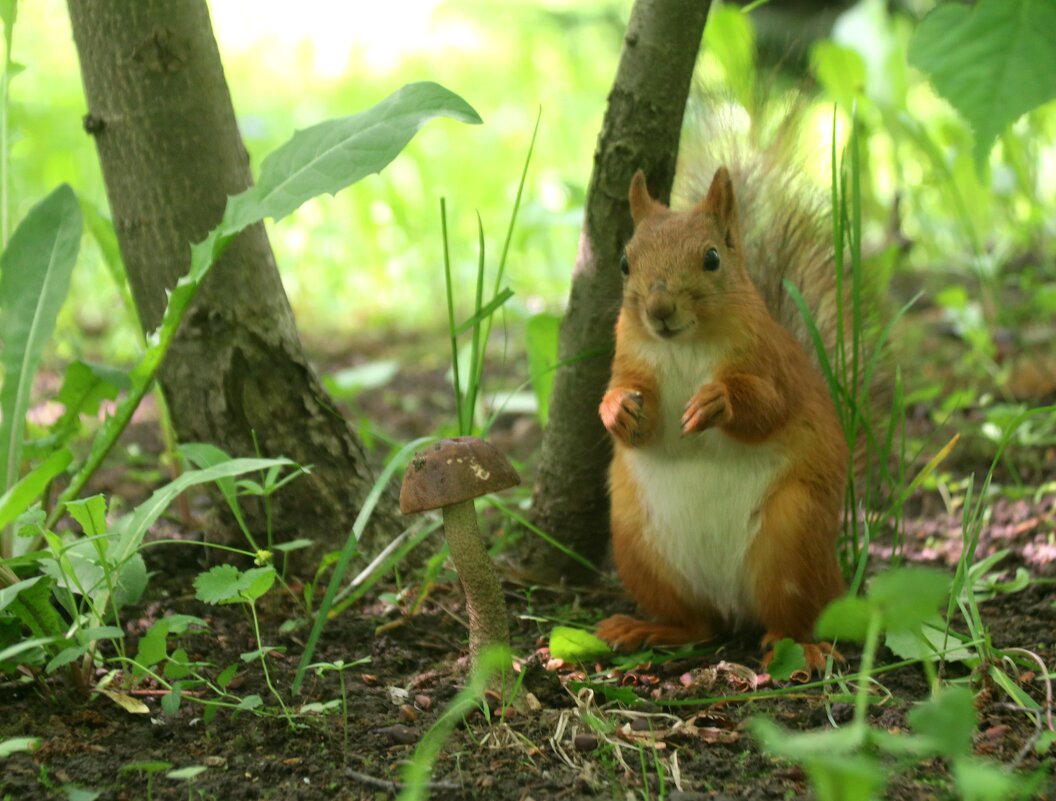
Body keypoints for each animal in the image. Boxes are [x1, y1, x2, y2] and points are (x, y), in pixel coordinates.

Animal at [595, 165, 849, 666]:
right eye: (625, 263)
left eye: (712, 258)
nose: (659, 310)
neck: (684, 345)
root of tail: (733, 604)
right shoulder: (629, 365)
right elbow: (632, 415)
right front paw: (616, 411)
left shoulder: (771, 365)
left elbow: (768, 407)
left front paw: (717, 402)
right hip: (638, 547)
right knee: (699, 626)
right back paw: (644, 629)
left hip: (794, 535)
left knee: (794, 618)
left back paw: (801, 649)